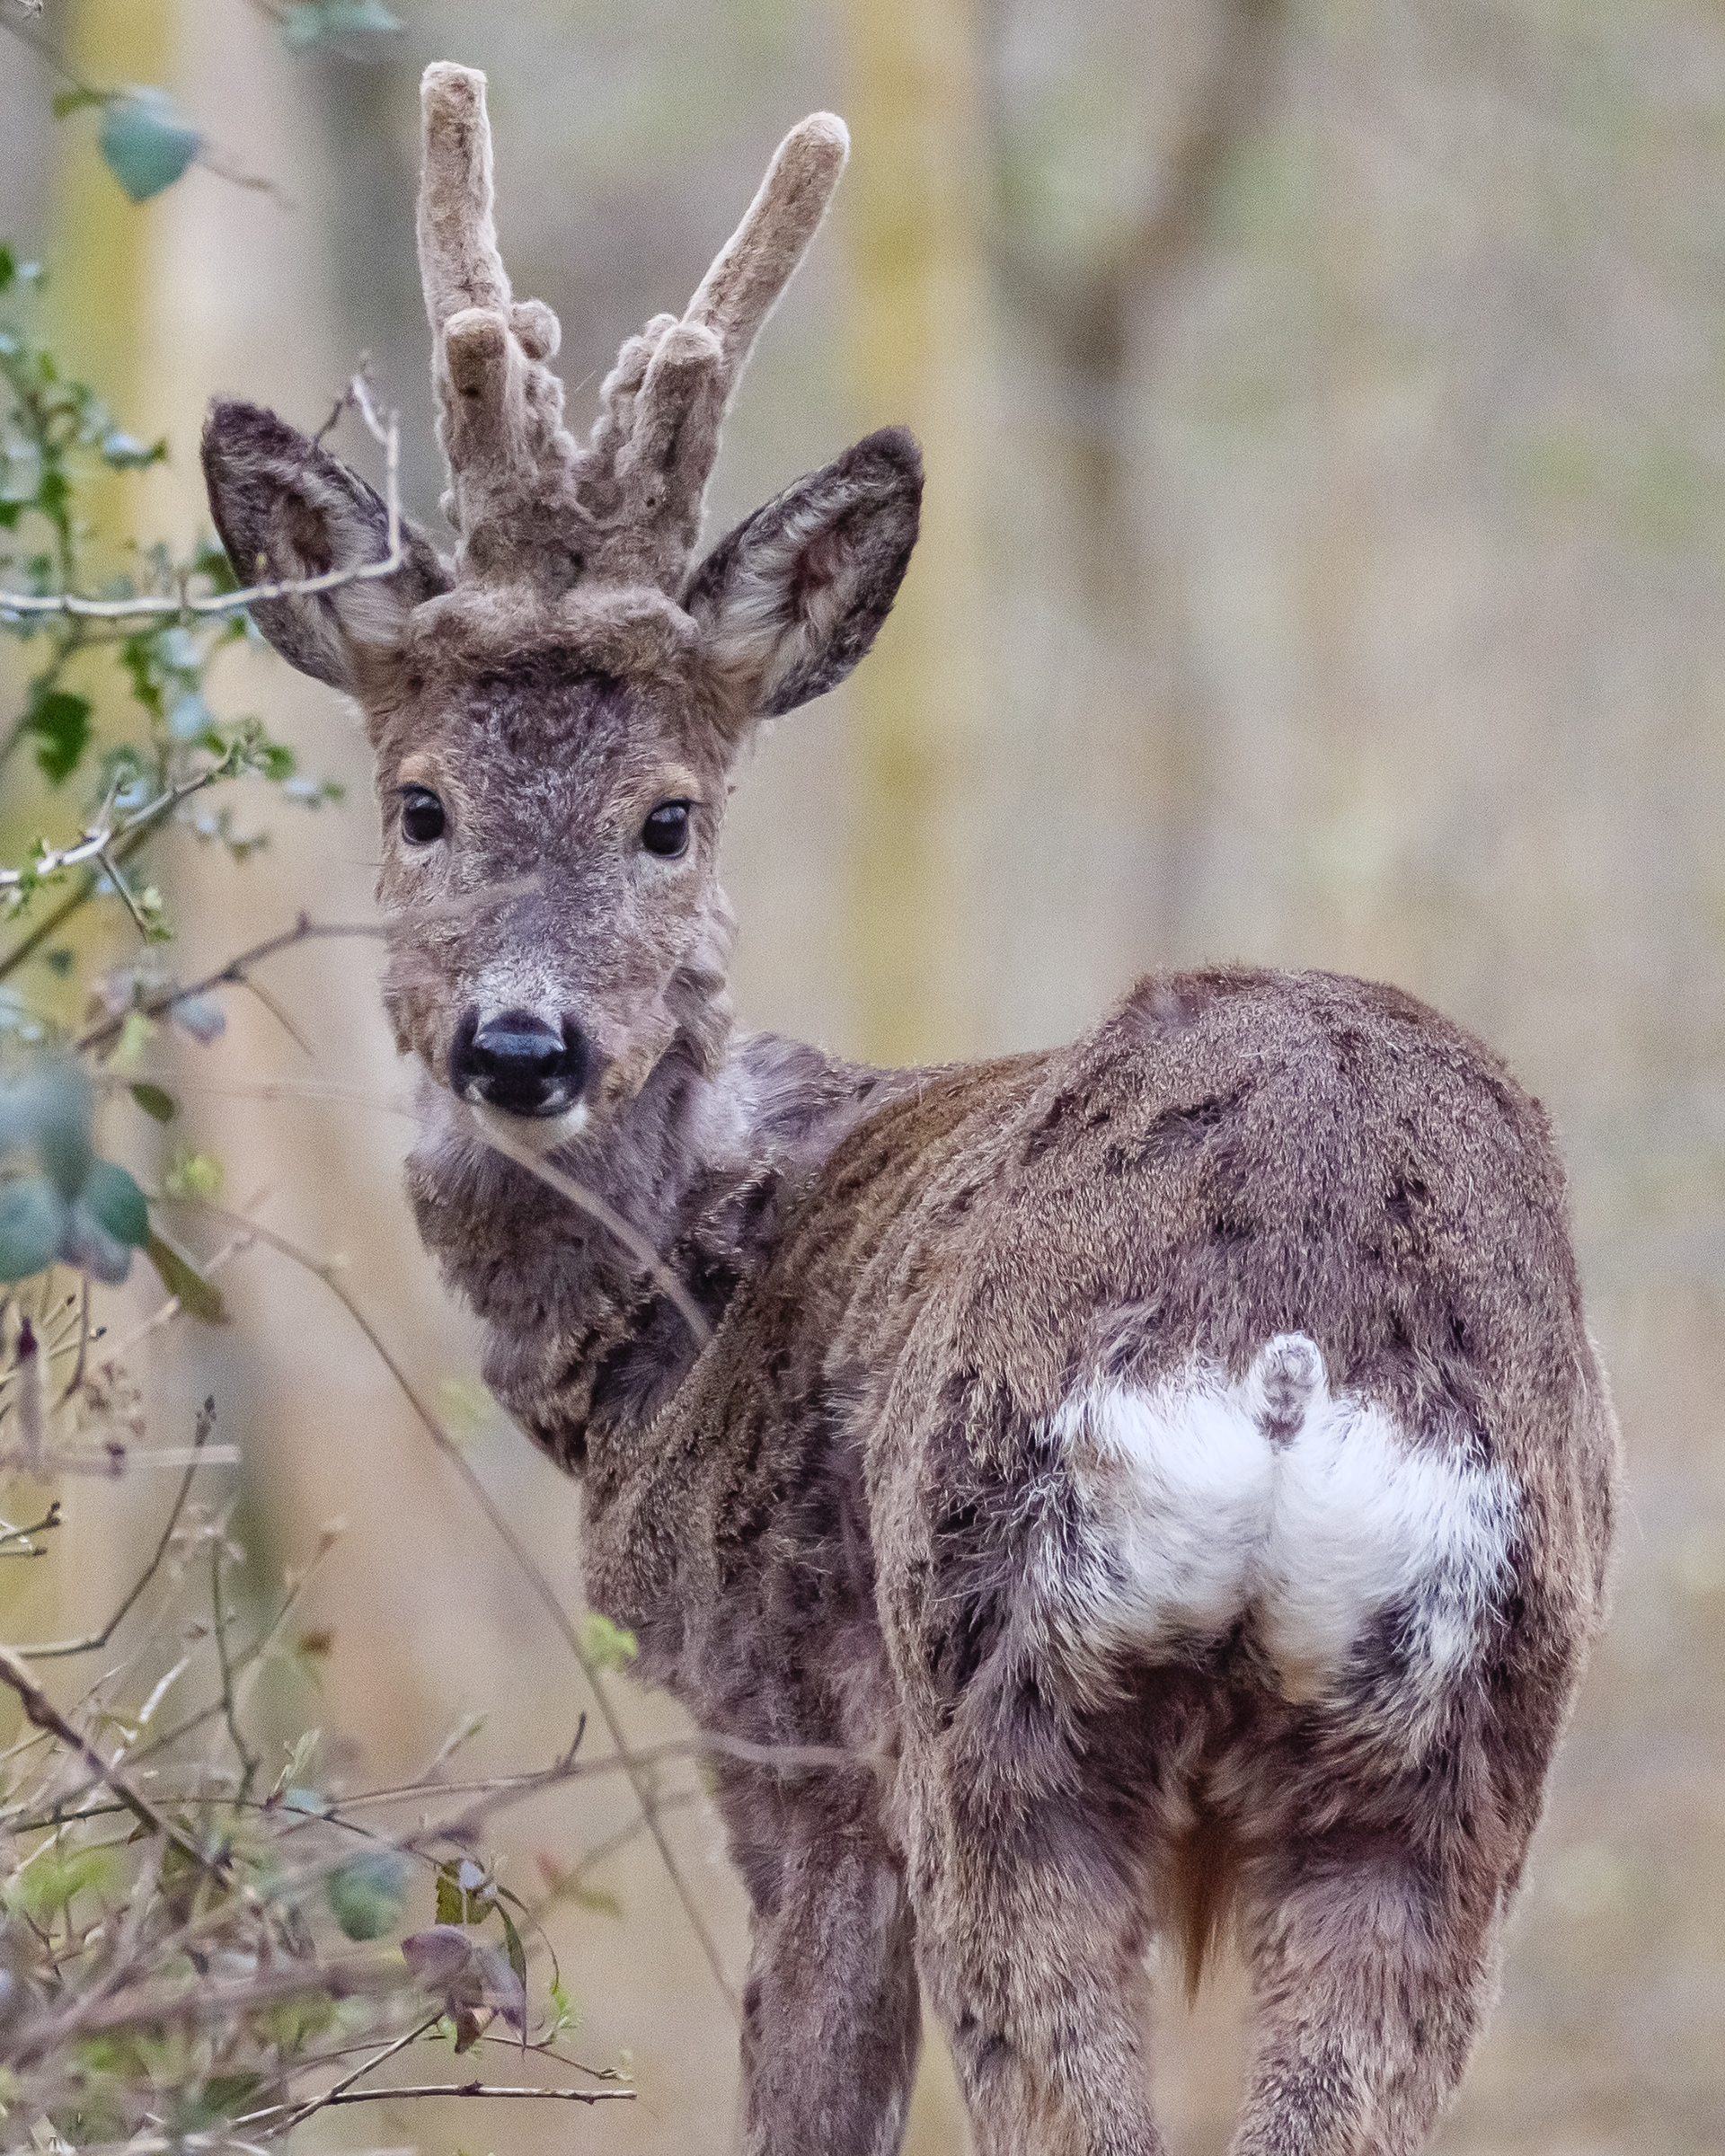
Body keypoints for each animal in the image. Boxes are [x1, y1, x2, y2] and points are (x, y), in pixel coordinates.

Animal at [201, 62, 1619, 2156]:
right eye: (422, 802)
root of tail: (1288, 1351)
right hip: (1457, 1762)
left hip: (997, 1708)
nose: (522, 1048)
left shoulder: (790, 1739)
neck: (689, 1286)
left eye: (670, 816)